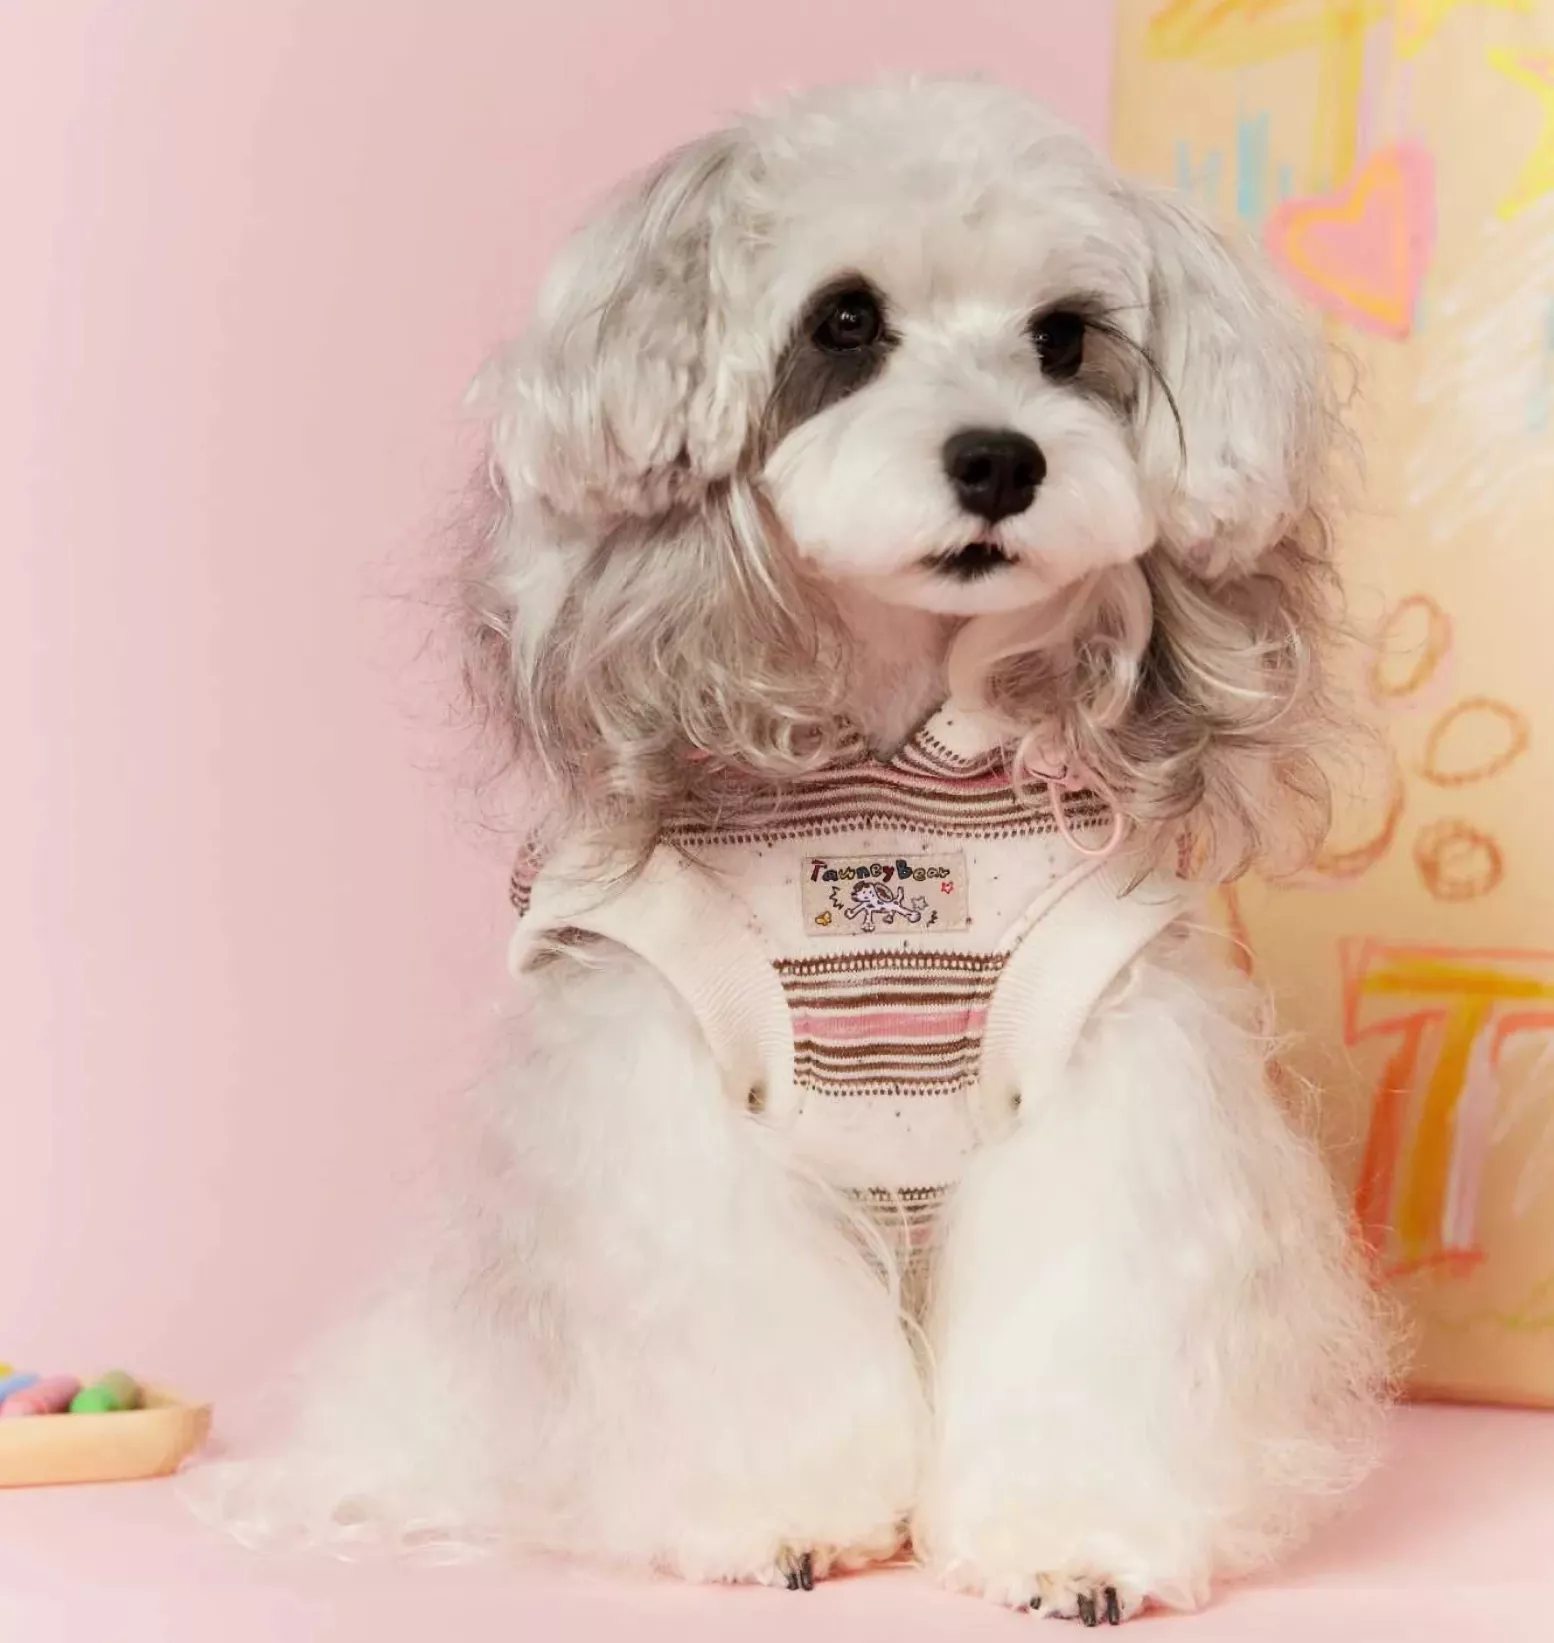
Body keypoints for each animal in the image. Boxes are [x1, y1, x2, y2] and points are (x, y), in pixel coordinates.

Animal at [200, 79, 1389, 1621]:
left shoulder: (1110, 1053)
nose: (1001, 458)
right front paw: (775, 1516)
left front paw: (1074, 1532)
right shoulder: (657, 1069)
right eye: (843, 321)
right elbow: (734, 1314)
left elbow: (1092, 1299)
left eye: (1065, 337)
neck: (890, 749)